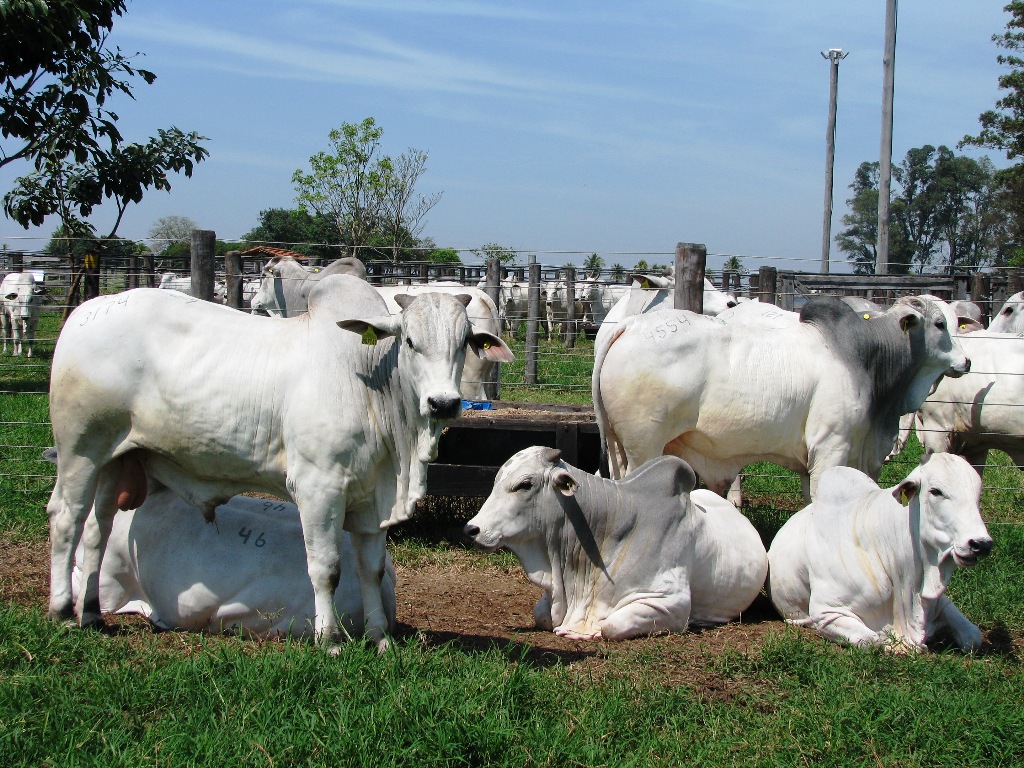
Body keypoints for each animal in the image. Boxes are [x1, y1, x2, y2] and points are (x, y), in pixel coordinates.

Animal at [593, 294, 966, 499]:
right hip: (644, 446)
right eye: (939, 324)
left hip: (618, 446)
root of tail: (628, 326)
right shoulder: (830, 449)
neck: (867, 358)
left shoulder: (811, 463)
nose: (967, 362)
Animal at [770, 454, 991, 651]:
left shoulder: (940, 602)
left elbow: (973, 636)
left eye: (978, 492)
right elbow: (872, 640)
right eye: (936, 491)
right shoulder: (827, 610)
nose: (981, 544)